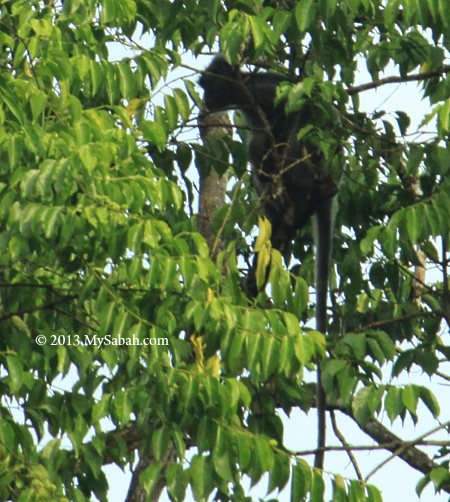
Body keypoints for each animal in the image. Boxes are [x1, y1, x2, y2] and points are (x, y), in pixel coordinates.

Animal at [199, 55, 340, 466]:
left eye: (208, 86)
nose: (204, 102)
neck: (245, 88)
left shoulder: (260, 94)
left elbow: (302, 107)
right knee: (256, 148)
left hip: (312, 165)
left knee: (283, 141)